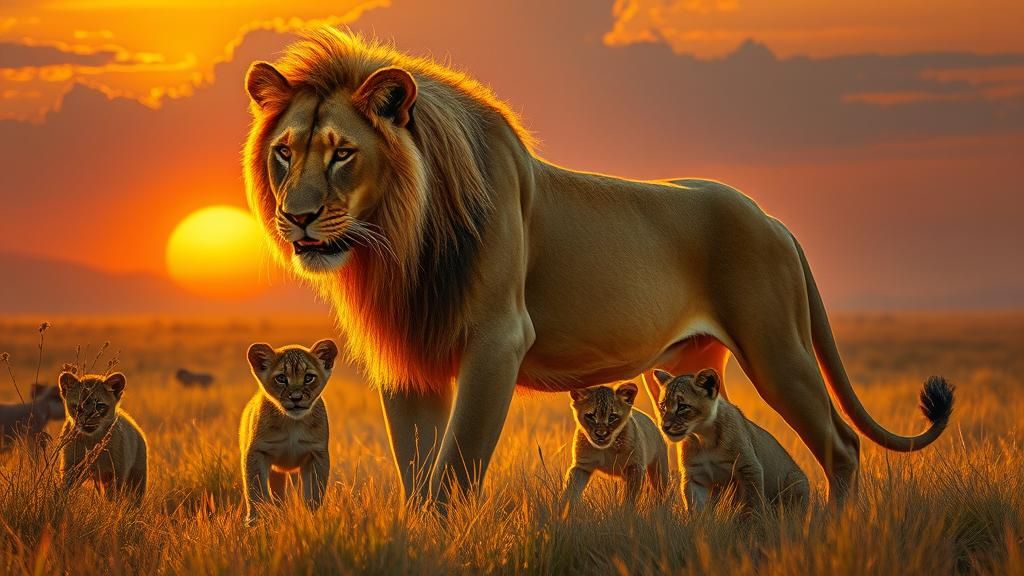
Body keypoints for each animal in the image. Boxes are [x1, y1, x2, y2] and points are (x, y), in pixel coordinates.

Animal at [243, 28, 955, 506]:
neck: (399, 241)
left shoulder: (498, 341)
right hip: (700, 364)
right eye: (284, 152)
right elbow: (417, 475)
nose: (297, 218)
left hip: (777, 348)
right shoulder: (411, 359)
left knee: (842, 445)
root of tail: (773, 220)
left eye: (342, 153)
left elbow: (454, 471)